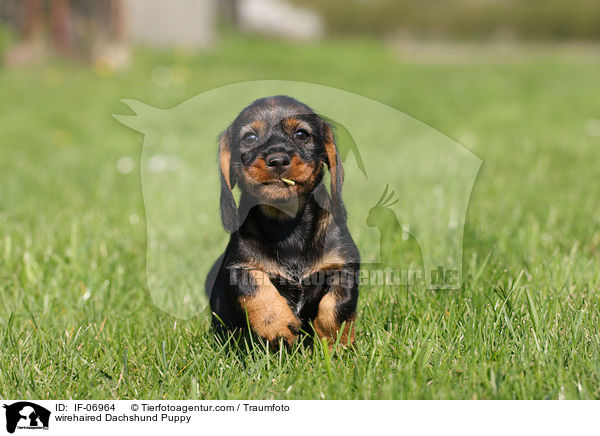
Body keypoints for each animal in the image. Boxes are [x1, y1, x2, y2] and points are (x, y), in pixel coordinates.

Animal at [207, 95, 356, 348]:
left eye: (301, 134)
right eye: (250, 137)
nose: (277, 160)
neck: (286, 223)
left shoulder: (343, 265)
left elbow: (338, 304)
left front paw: (334, 342)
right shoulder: (239, 265)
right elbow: (253, 285)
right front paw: (276, 324)